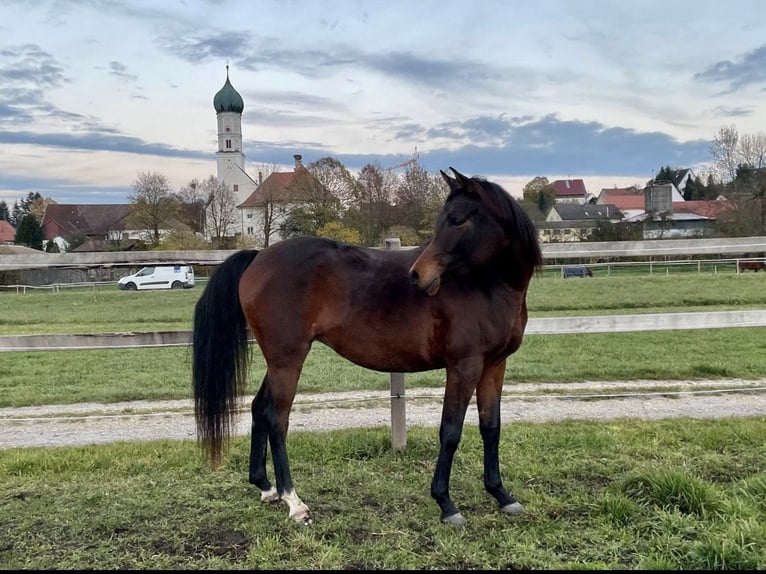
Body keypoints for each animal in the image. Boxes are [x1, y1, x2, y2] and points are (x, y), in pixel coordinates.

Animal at [192, 166, 544, 528]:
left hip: (279, 361)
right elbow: (450, 431)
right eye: (447, 219)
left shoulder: (494, 365)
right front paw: (446, 503)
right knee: (277, 420)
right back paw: (294, 502)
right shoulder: (464, 366)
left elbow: (491, 427)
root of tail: (259, 256)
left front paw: (501, 495)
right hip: (287, 361)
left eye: (457, 219)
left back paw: (266, 487)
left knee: (259, 408)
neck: (488, 285)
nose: (418, 276)